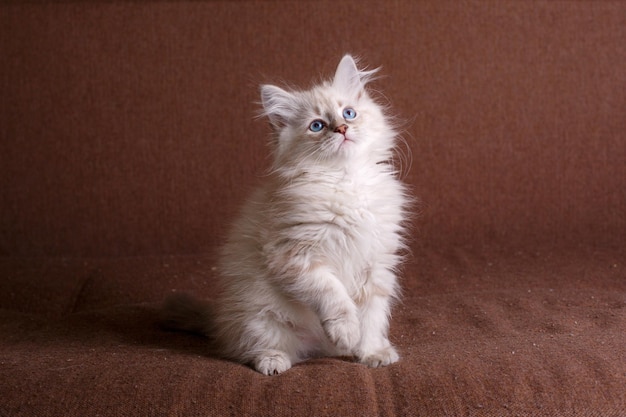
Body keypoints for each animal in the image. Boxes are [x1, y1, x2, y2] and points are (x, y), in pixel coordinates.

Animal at [162, 53, 410, 376]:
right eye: (317, 125)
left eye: (349, 113)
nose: (342, 129)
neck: (346, 180)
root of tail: (219, 318)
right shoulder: (295, 257)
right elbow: (335, 297)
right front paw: (345, 331)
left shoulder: (376, 265)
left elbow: (370, 318)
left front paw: (370, 352)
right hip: (258, 312)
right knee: (254, 345)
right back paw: (273, 361)